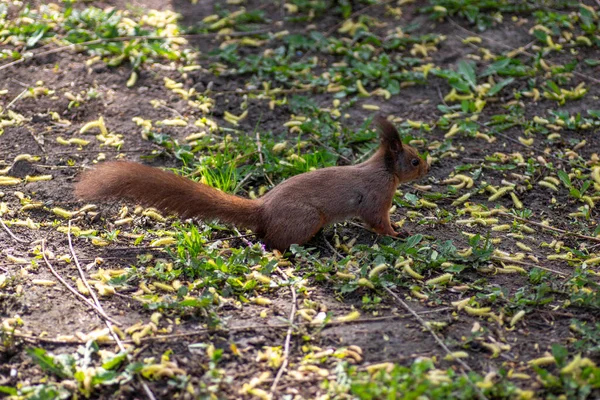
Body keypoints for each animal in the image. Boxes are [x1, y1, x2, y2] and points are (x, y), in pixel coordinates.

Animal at [75, 115, 428, 252]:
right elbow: (377, 221)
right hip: (306, 218)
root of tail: (263, 210)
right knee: (272, 241)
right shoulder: (376, 197)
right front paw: (398, 234)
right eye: (413, 161)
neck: (383, 171)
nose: (427, 168)